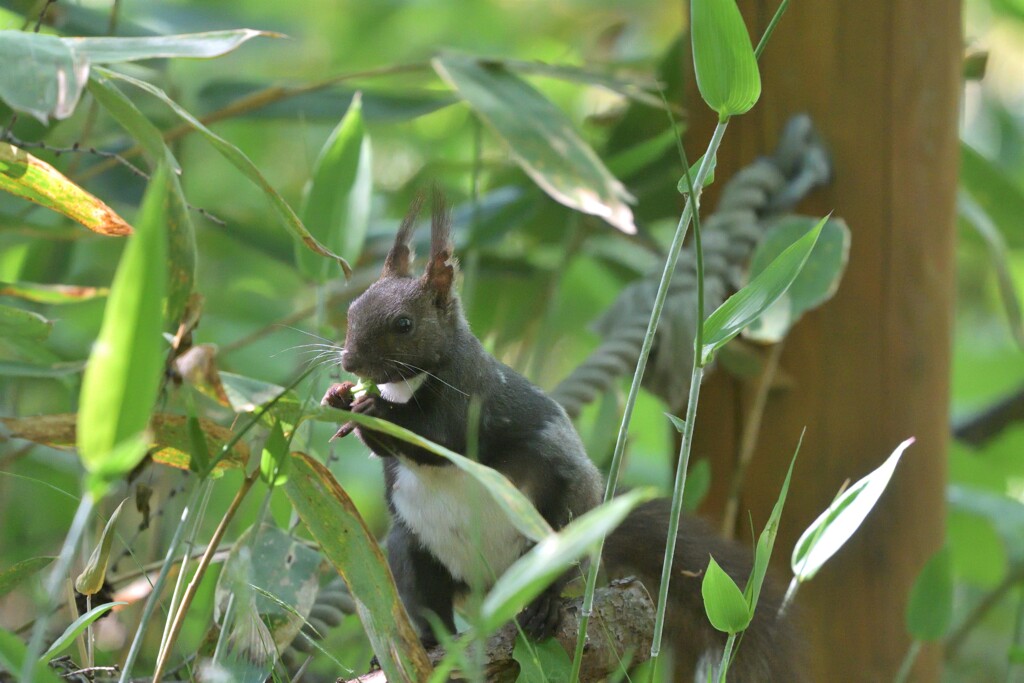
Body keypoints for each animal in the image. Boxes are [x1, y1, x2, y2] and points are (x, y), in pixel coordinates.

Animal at [319, 193, 798, 683]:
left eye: (404, 325)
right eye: (352, 310)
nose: (350, 361)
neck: (408, 385)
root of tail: (492, 590)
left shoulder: (471, 394)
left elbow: (440, 439)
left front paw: (370, 409)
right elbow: (392, 447)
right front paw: (338, 398)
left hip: (562, 522)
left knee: (557, 573)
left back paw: (544, 607)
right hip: (411, 548)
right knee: (427, 603)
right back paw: (422, 644)